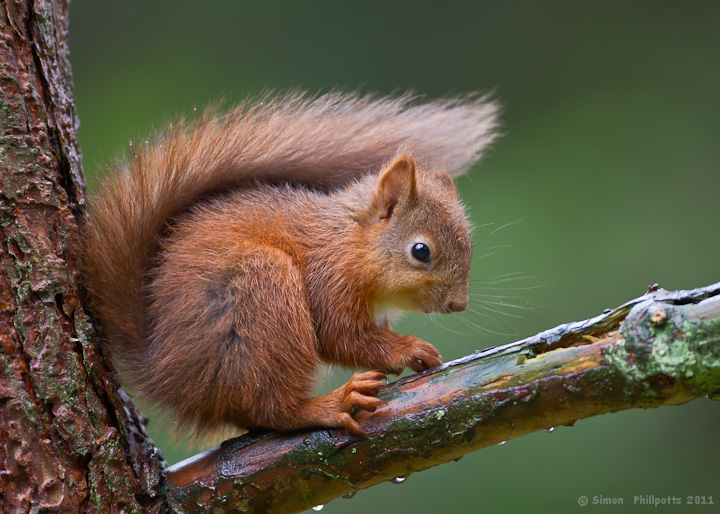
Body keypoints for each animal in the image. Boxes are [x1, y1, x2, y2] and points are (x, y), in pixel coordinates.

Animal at [84, 91, 498, 438]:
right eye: (420, 251)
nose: (458, 304)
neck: (350, 241)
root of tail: (165, 374)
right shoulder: (328, 277)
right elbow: (340, 335)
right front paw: (409, 349)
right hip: (261, 297)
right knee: (272, 410)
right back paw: (330, 404)